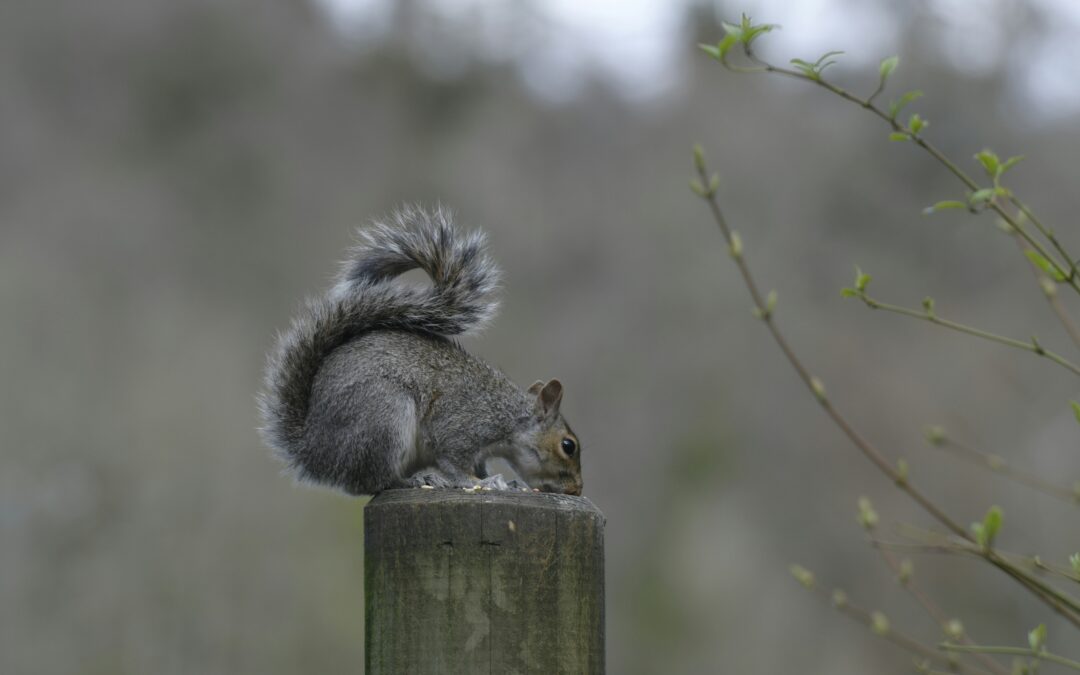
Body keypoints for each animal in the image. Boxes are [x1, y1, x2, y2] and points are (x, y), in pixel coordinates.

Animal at [258, 206, 583, 496]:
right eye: (568, 446)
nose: (577, 490)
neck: (510, 416)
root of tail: (314, 451)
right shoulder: (464, 426)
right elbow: (453, 462)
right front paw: (481, 483)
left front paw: (506, 482)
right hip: (384, 419)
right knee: (371, 482)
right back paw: (414, 480)